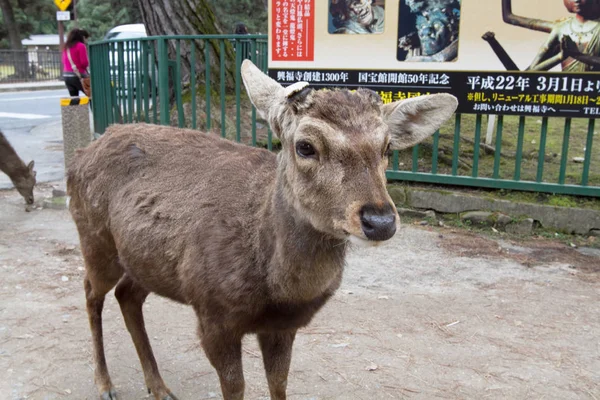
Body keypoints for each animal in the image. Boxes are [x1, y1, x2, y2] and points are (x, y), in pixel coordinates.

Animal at [65, 60, 458, 400]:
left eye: (387, 147)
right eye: (305, 146)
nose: (380, 220)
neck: (276, 289)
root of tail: (83, 152)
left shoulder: (283, 326)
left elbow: (279, 384)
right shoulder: (212, 315)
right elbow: (235, 388)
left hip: (146, 261)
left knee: (127, 295)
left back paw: (159, 387)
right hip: (94, 238)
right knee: (91, 291)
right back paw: (104, 384)